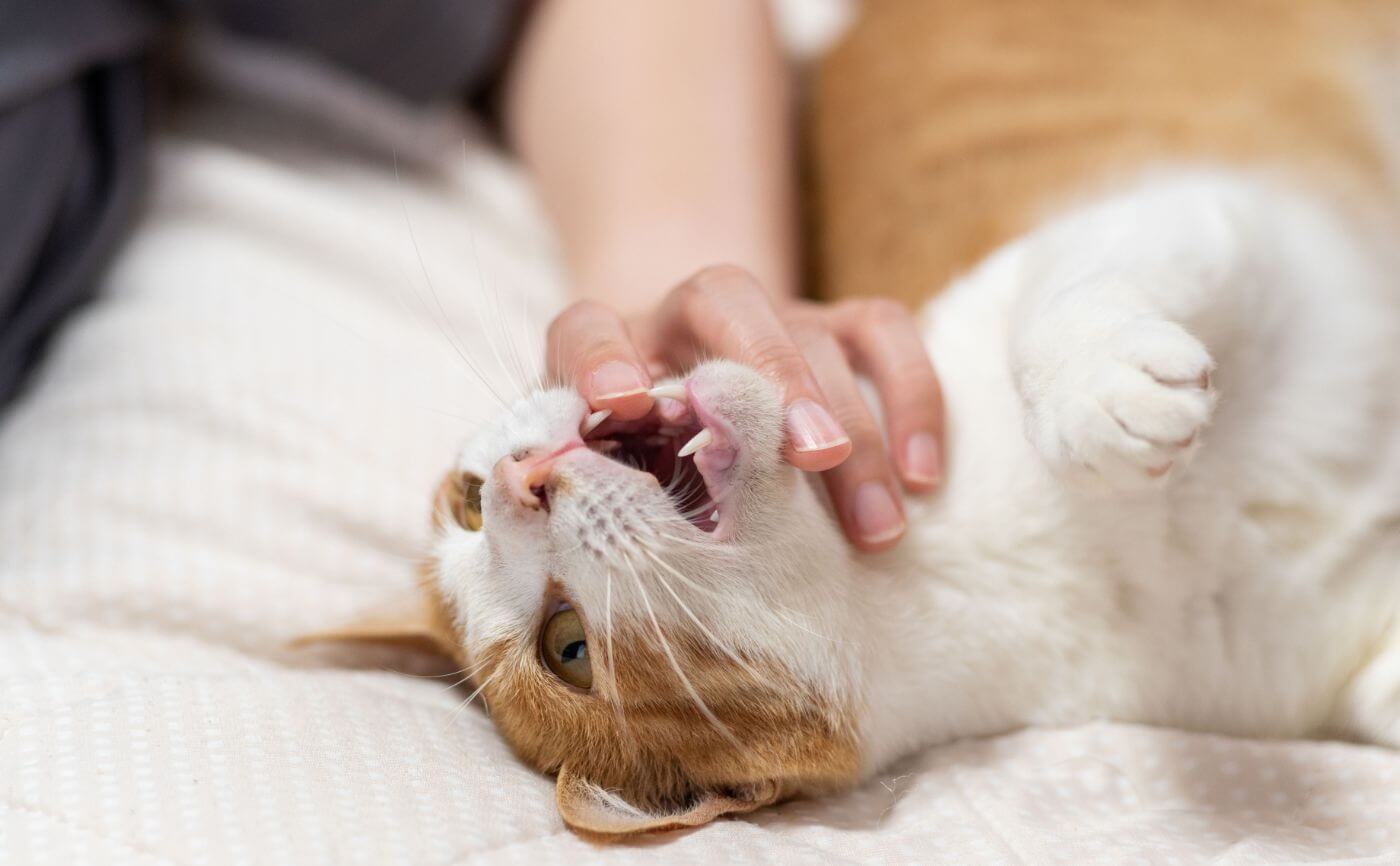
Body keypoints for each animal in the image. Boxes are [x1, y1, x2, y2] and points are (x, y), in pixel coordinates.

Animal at [317, 0, 1400, 839]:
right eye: (567, 647)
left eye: (463, 503)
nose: (518, 481)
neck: (957, 560)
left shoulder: (1178, 215)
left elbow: (1075, 296)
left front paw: (1090, 391)